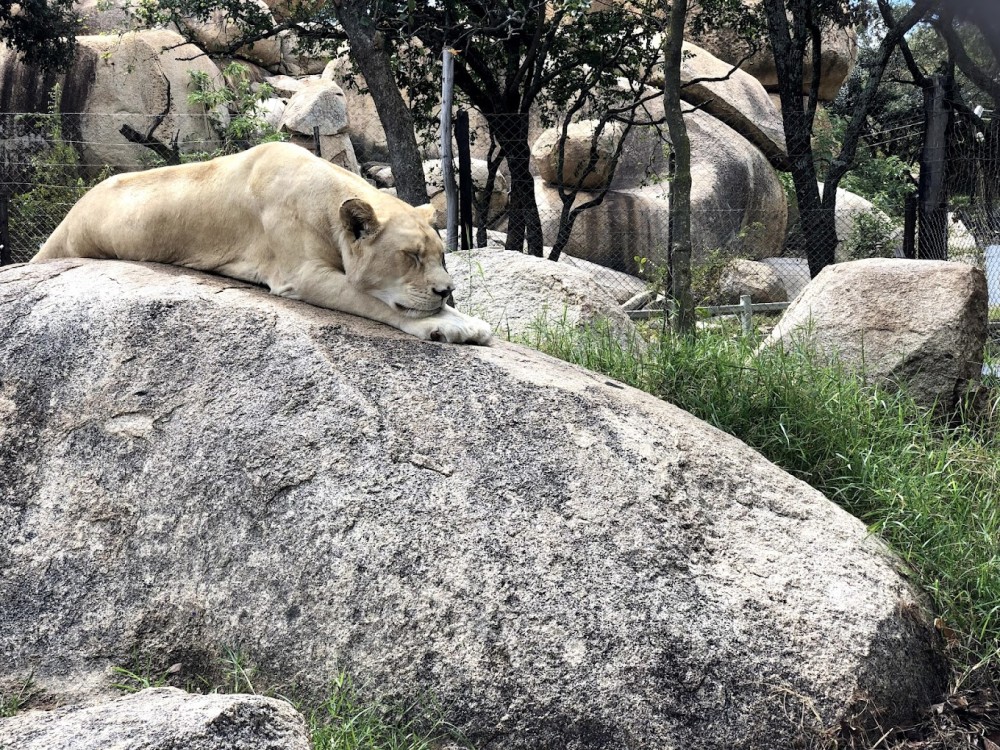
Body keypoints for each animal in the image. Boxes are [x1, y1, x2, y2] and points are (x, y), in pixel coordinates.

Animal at [32, 141, 492, 345]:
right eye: (410, 256)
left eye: (441, 257)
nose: (446, 289)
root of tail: (68, 215)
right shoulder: (300, 276)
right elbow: (375, 302)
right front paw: (455, 325)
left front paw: (462, 316)